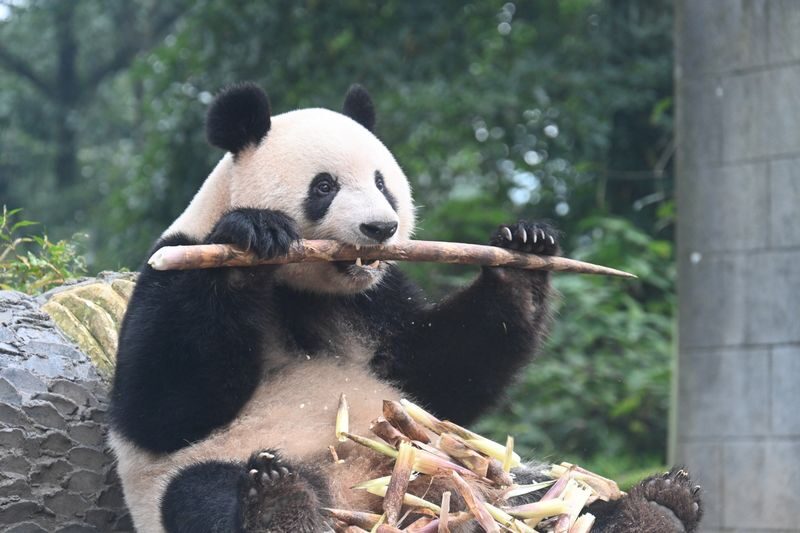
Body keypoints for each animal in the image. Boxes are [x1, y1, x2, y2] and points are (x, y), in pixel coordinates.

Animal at [108, 83, 703, 533]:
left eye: (382, 183)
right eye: (323, 186)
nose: (381, 228)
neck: (302, 287)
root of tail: (369, 502)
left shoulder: (378, 298)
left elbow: (435, 373)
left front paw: (525, 250)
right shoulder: (172, 265)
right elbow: (162, 406)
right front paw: (252, 235)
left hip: (463, 462)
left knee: (553, 491)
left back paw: (658, 505)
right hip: (235, 463)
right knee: (204, 492)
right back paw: (279, 504)